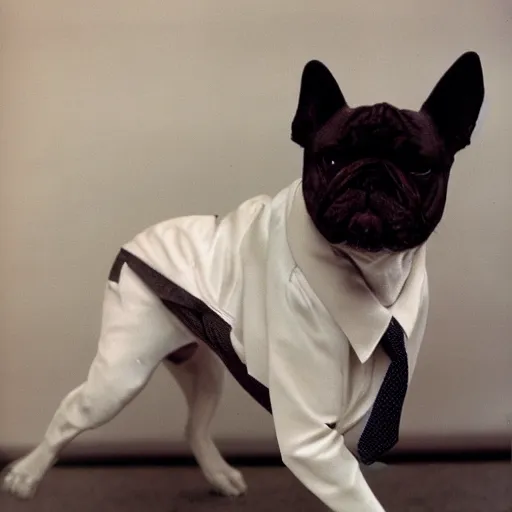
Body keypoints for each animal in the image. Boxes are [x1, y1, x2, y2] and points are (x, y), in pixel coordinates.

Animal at [2, 51, 484, 508]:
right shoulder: (308, 436)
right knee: (71, 414)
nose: (371, 174)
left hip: (202, 369)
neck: (366, 273)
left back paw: (219, 475)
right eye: (330, 158)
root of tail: (138, 239)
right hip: (120, 375)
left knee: (194, 427)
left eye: (420, 168)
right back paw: (25, 475)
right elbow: (356, 495)